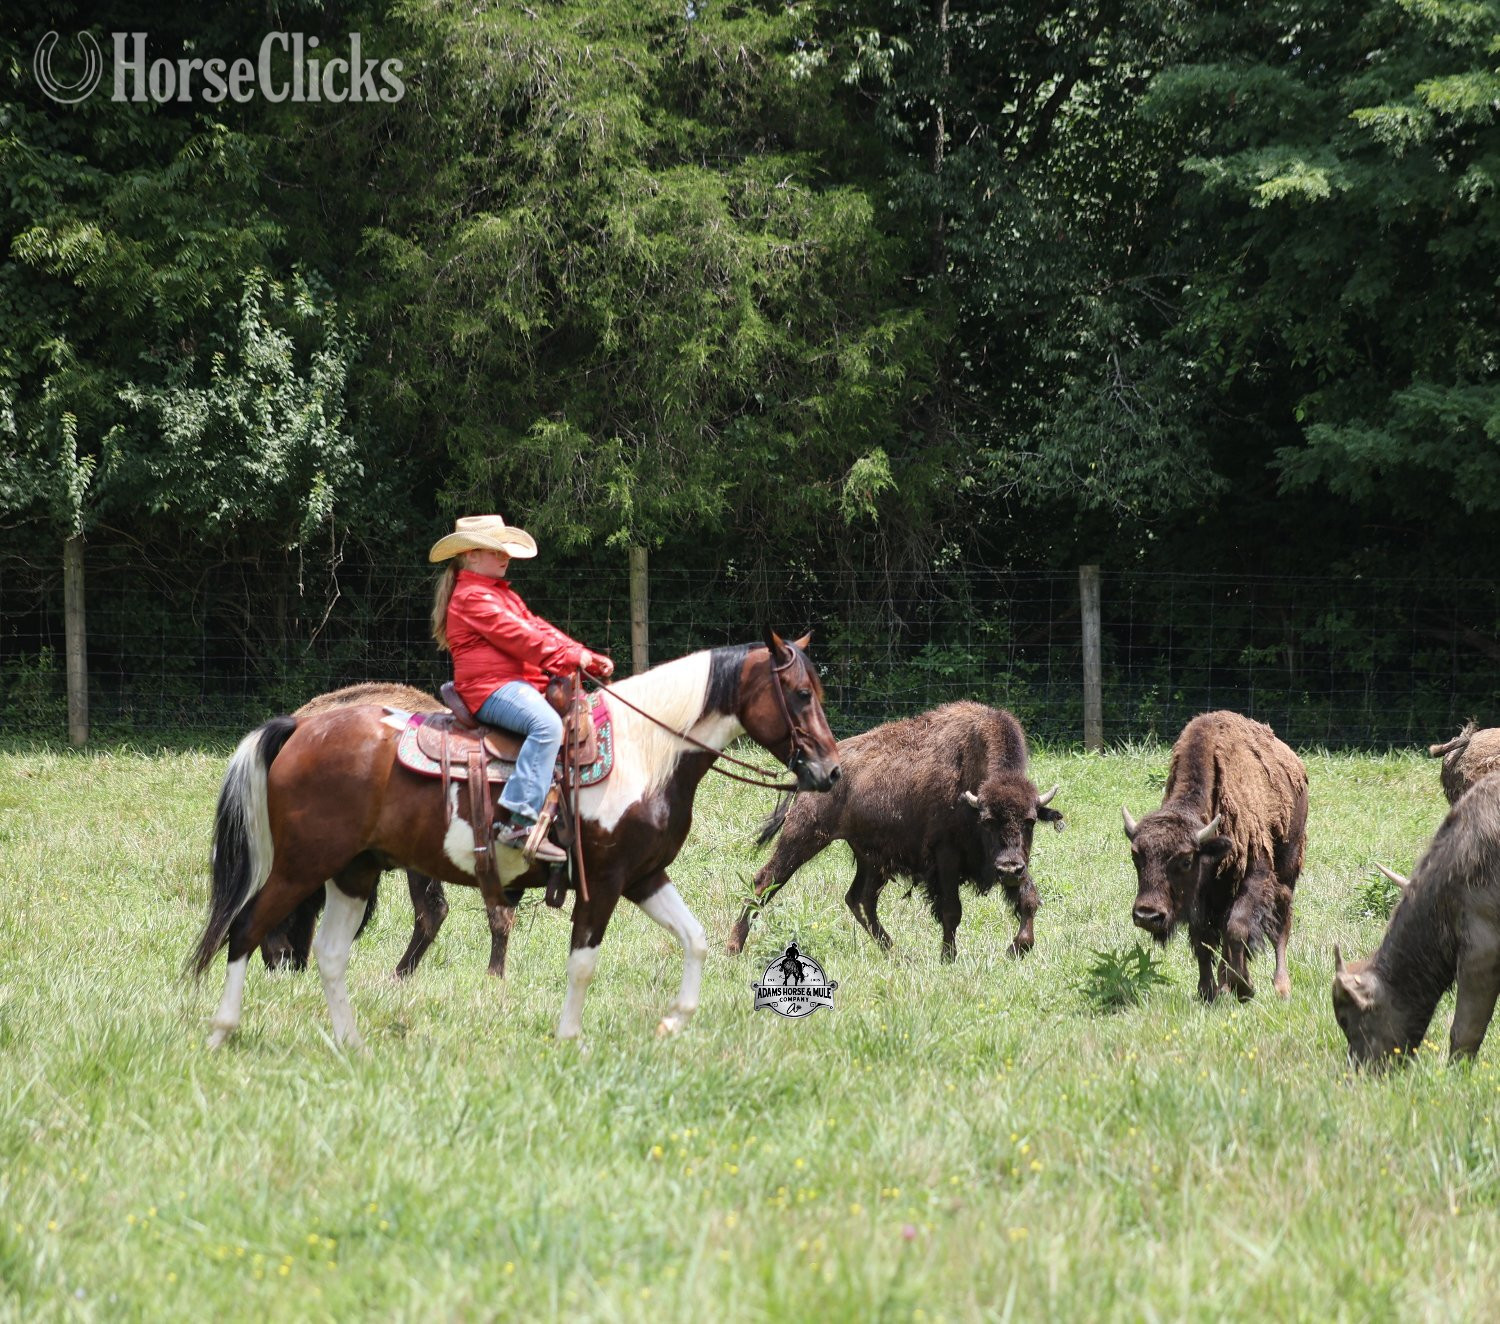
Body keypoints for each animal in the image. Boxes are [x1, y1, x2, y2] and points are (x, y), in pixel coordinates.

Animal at [189, 632, 841, 1047]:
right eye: (800, 694)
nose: (831, 773)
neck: (646, 753)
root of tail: (301, 728)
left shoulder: (644, 877)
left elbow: (697, 940)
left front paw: (672, 1023)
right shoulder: (603, 884)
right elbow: (583, 963)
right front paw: (569, 1037)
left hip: (354, 871)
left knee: (329, 954)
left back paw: (350, 1043)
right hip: (301, 866)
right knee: (245, 929)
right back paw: (221, 1032)